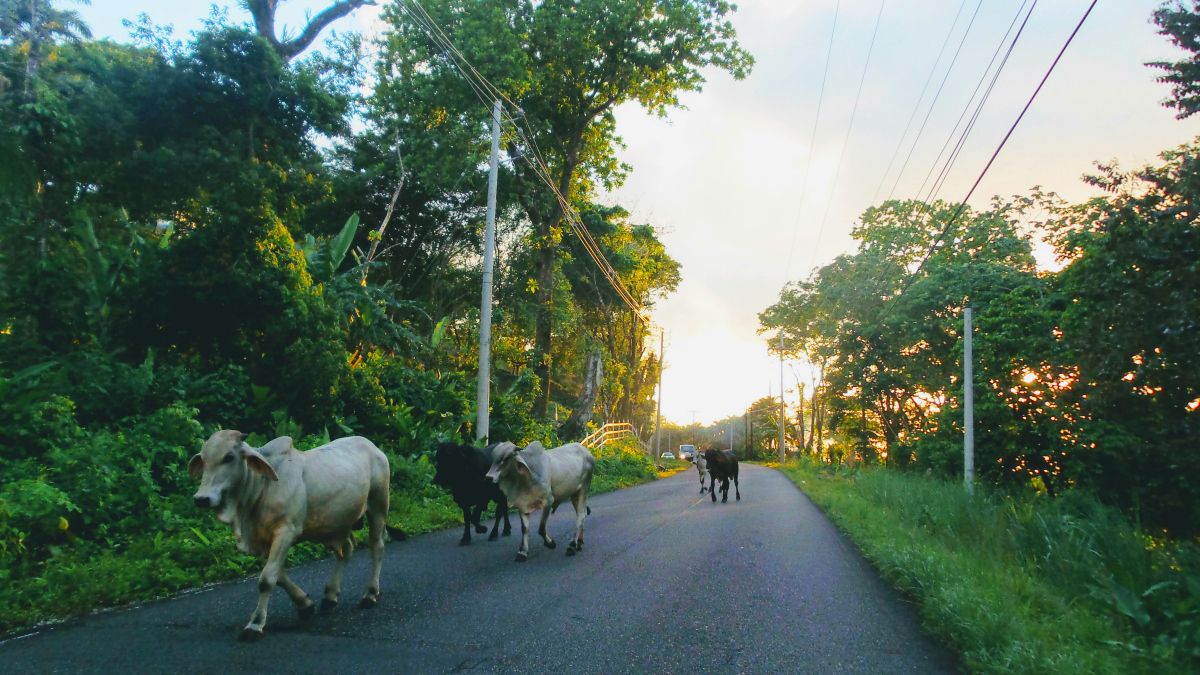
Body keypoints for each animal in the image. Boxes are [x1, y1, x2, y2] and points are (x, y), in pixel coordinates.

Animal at [189, 427, 398, 638]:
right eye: (204, 459)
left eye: (229, 457)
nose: (201, 499)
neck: (260, 487)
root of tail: (372, 446)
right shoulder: (262, 541)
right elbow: (279, 576)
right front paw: (305, 605)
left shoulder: (286, 531)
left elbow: (267, 579)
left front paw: (255, 624)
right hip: (337, 523)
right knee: (346, 550)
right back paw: (330, 596)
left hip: (378, 505)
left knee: (377, 546)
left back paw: (370, 594)